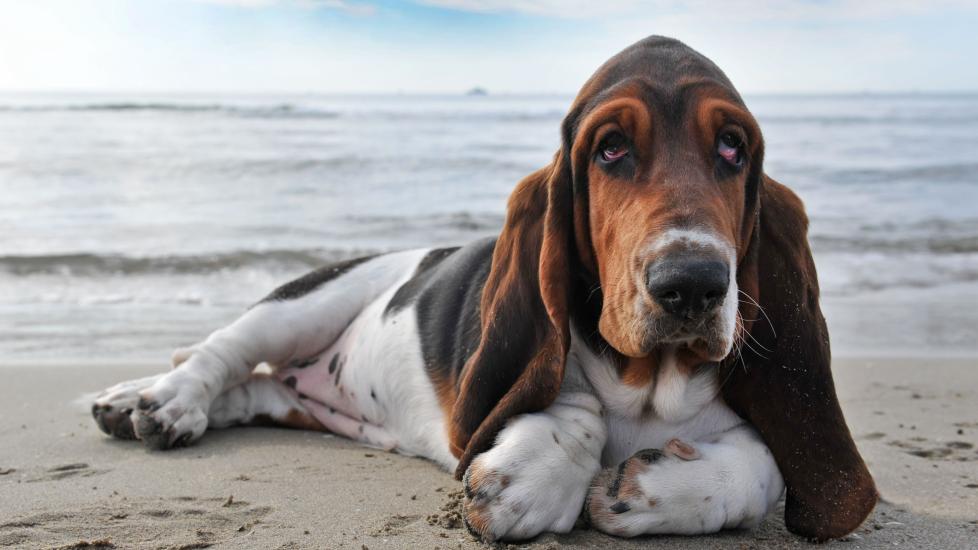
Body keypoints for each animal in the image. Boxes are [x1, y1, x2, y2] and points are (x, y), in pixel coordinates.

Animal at [89, 36, 876, 544]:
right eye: (610, 148)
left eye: (733, 147)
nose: (693, 286)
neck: (650, 387)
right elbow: (571, 404)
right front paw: (532, 479)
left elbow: (769, 463)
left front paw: (651, 492)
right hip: (304, 304)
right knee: (219, 355)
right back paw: (155, 404)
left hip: (299, 399)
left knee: (251, 391)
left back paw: (138, 403)